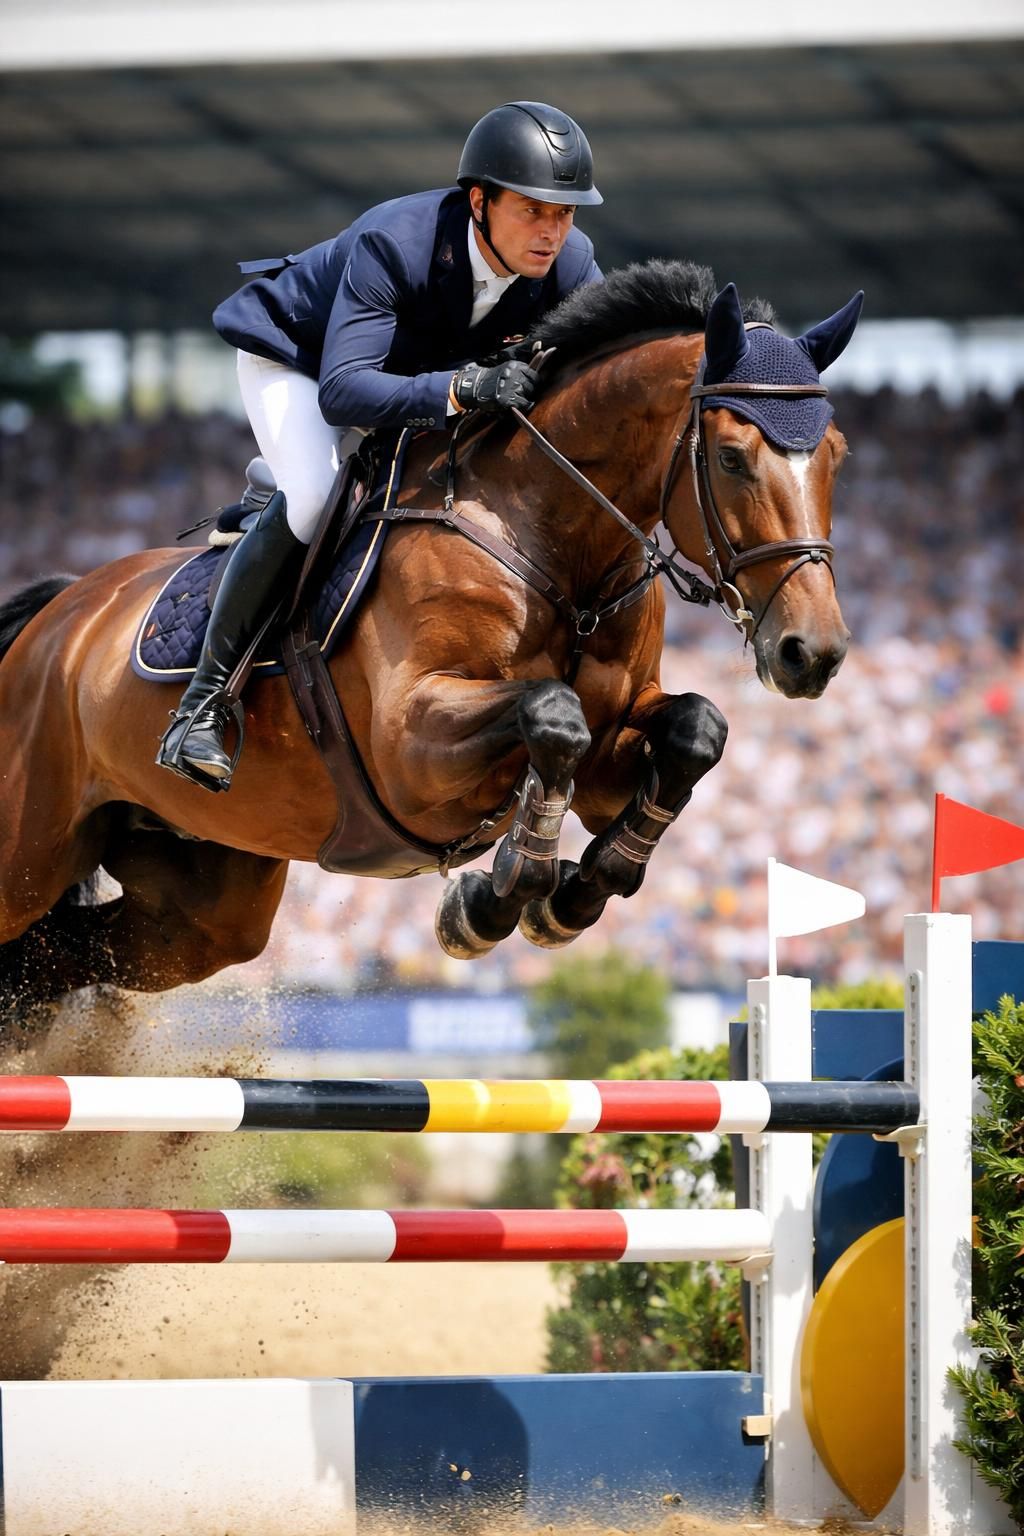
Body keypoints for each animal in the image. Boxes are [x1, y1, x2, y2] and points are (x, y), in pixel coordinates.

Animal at [0, 262, 860, 1010]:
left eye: (837, 455)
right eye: (732, 457)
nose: (811, 654)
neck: (550, 536)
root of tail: (58, 612)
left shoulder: (616, 748)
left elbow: (693, 730)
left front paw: (571, 896)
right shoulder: (410, 742)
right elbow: (551, 713)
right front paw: (498, 897)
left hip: (203, 899)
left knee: (66, 956)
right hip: (30, 852)